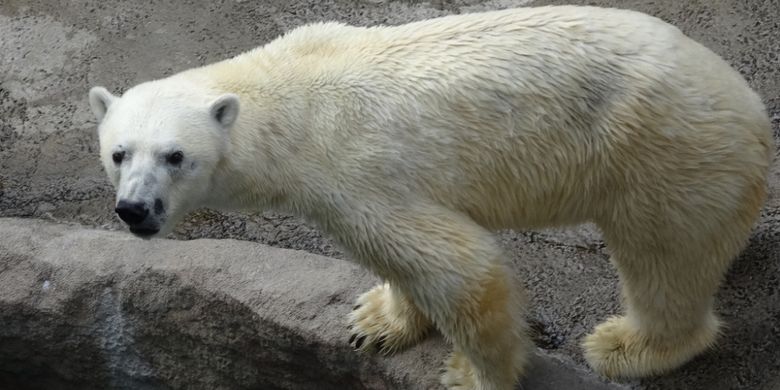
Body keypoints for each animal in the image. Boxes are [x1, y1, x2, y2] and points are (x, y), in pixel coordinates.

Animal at [87, 5, 772, 390]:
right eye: (119, 153)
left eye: (175, 156)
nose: (135, 210)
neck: (287, 100)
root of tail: (749, 103)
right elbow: (402, 267)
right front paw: (375, 322)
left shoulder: (350, 172)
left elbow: (459, 270)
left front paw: (470, 376)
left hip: (661, 155)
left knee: (664, 259)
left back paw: (627, 346)